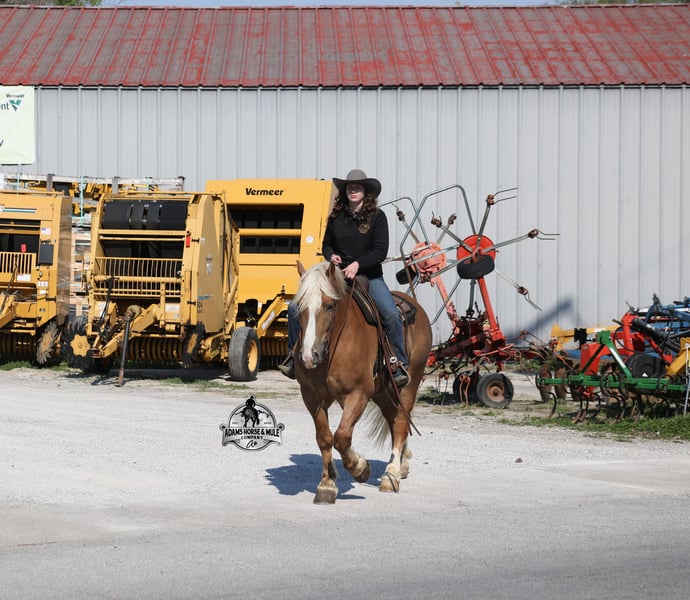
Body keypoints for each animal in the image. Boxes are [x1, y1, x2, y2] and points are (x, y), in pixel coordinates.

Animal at [292, 261, 432, 504]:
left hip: (409, 384)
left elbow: (341, 436)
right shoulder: (311, 395)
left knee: (401, 424)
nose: (309, 356)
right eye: (299, 305)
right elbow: (325, 438)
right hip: (383, 392)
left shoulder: (358, 394)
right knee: (394, 420)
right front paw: (326, 485)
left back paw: (391, 476)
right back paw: (401, 466)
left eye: (329, 306)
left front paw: (360, 468)